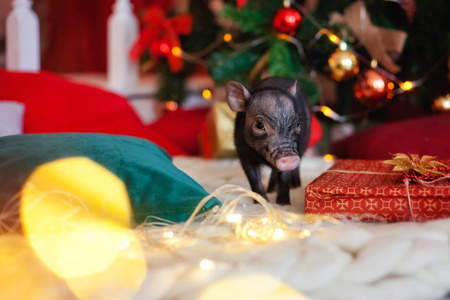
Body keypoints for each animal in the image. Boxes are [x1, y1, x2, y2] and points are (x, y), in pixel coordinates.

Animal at [227, 76, 312, 205]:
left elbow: (285, 176)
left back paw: (295, 186)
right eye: (259, 124)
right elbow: (253, 177)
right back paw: (271, 189)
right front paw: (261, 202)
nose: (289, 158)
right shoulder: (243, 154)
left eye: (297, 123)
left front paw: (283, 203)